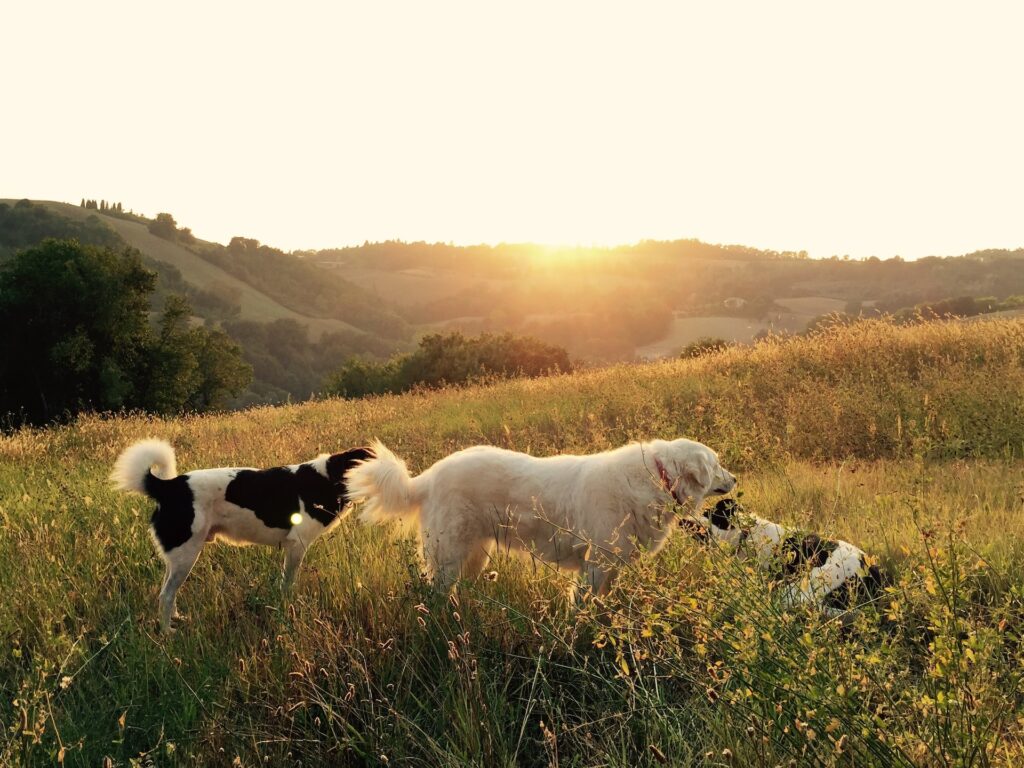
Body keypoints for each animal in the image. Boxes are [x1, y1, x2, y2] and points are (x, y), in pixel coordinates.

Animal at [111, 438, 372, 630]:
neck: (328, 478)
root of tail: (170, 486)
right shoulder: (296, 545)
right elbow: (287, 584)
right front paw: (288, 609)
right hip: (187, 554)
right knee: (165, 595)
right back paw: (167, 633)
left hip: (178, 556)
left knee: (168, 590)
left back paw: (176, 619)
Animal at [344, 438, 737, 593]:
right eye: (717, 464)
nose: (735, 479)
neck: (657, 477)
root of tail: (426, 477)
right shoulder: (596, 566)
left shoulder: (612, 567)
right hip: (448, 557)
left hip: (474, 555)